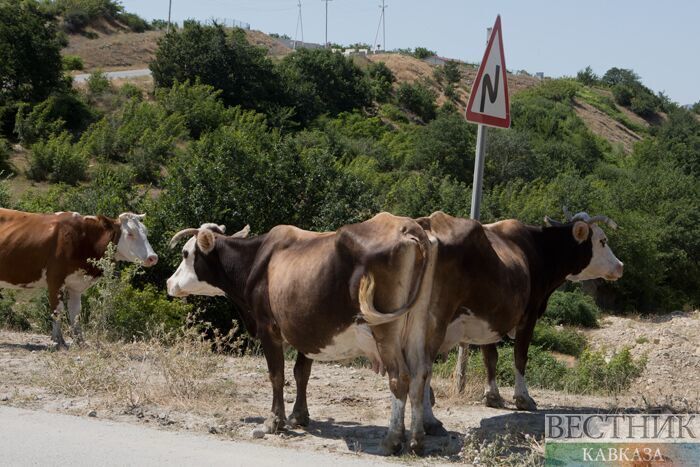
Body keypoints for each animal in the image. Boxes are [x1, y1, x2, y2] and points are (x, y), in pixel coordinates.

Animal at [0, 208, 158, 348]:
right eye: (130, 234)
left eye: (146, 232)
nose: (153, 257)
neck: (83, 238)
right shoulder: (55, 279)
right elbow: (57, 311)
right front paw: (59, 341)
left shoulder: (76, 285)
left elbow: (75, 312)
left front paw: (80, 341)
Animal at [165, 214, 438, 456]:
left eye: (186, 253)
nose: (169, 282)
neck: (257, 260)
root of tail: (407, 226)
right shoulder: (308, 331)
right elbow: (301, 374)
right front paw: (299, 416)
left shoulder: (269, 328)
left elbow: (277, 375)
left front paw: (274, 421)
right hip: (417, 326)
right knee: (419, 375)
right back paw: (416, 441)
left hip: (386, 332)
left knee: (400, 377)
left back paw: (392, 440)